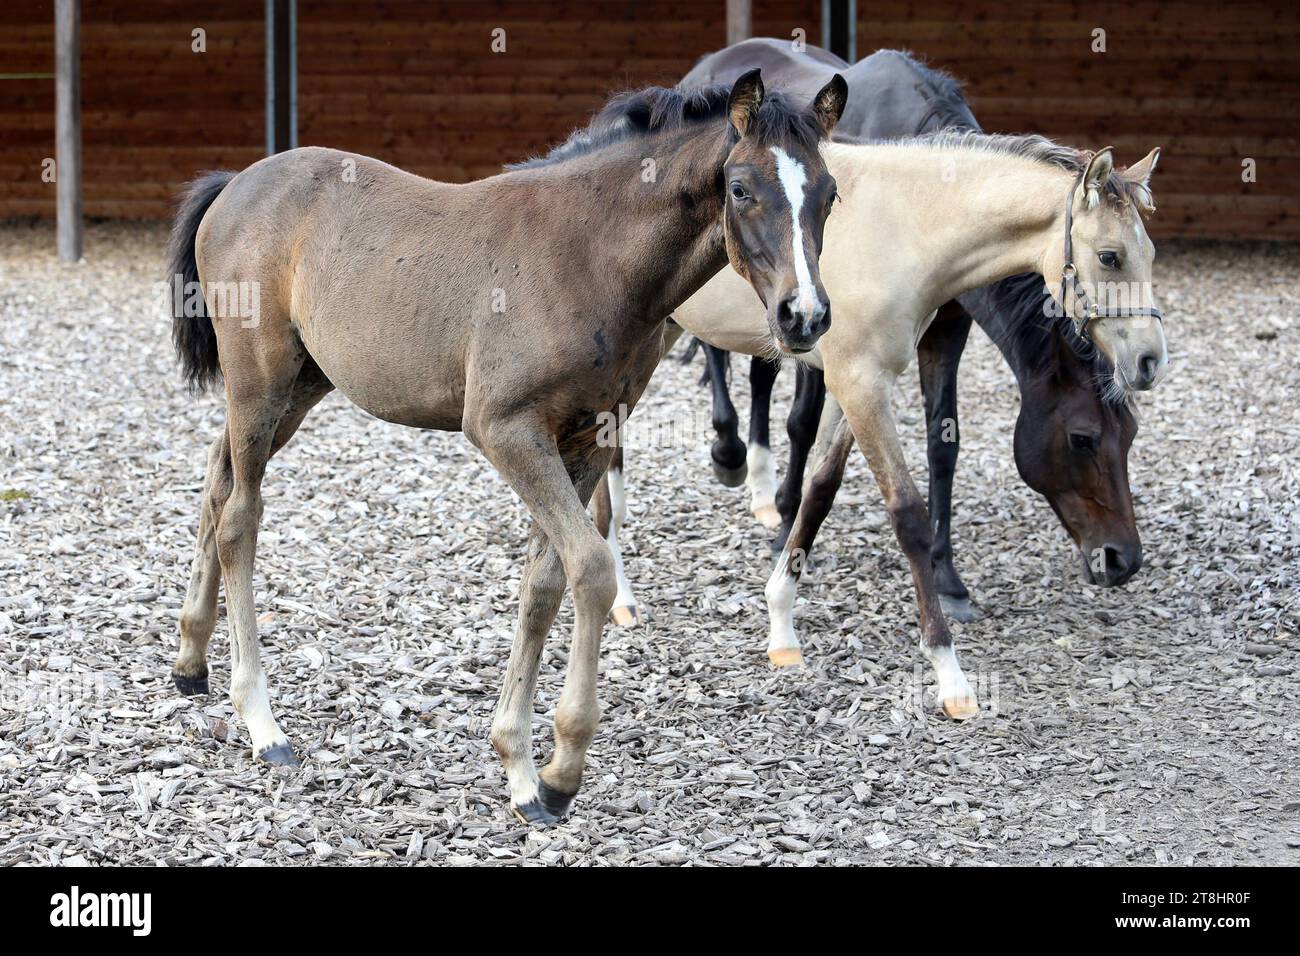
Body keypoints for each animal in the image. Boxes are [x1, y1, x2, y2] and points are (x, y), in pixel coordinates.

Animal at [166, 70, 849, 825]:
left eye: (830, 193)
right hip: (260, 379)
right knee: (240, 517)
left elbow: (543, 585)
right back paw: (262, 724)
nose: (805, 315)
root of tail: (234, 183)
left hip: (302, 384)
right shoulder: (507, 430)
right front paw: (561, 771)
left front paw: (521, 770)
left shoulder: (586, 440)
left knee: (218, 476)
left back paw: (191, 661)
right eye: (740, 187)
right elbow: (592, 568)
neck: (589, 255)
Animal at [597, 47, 1166, 720]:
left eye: (1149, 254)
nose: (1122, 561)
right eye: (1108, 257)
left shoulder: (865, 381)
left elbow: (821, 490)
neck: (905, 228)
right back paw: (626, 588)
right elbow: (907, 512)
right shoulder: (859, 384)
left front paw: (781, 624)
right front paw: (950, 675)